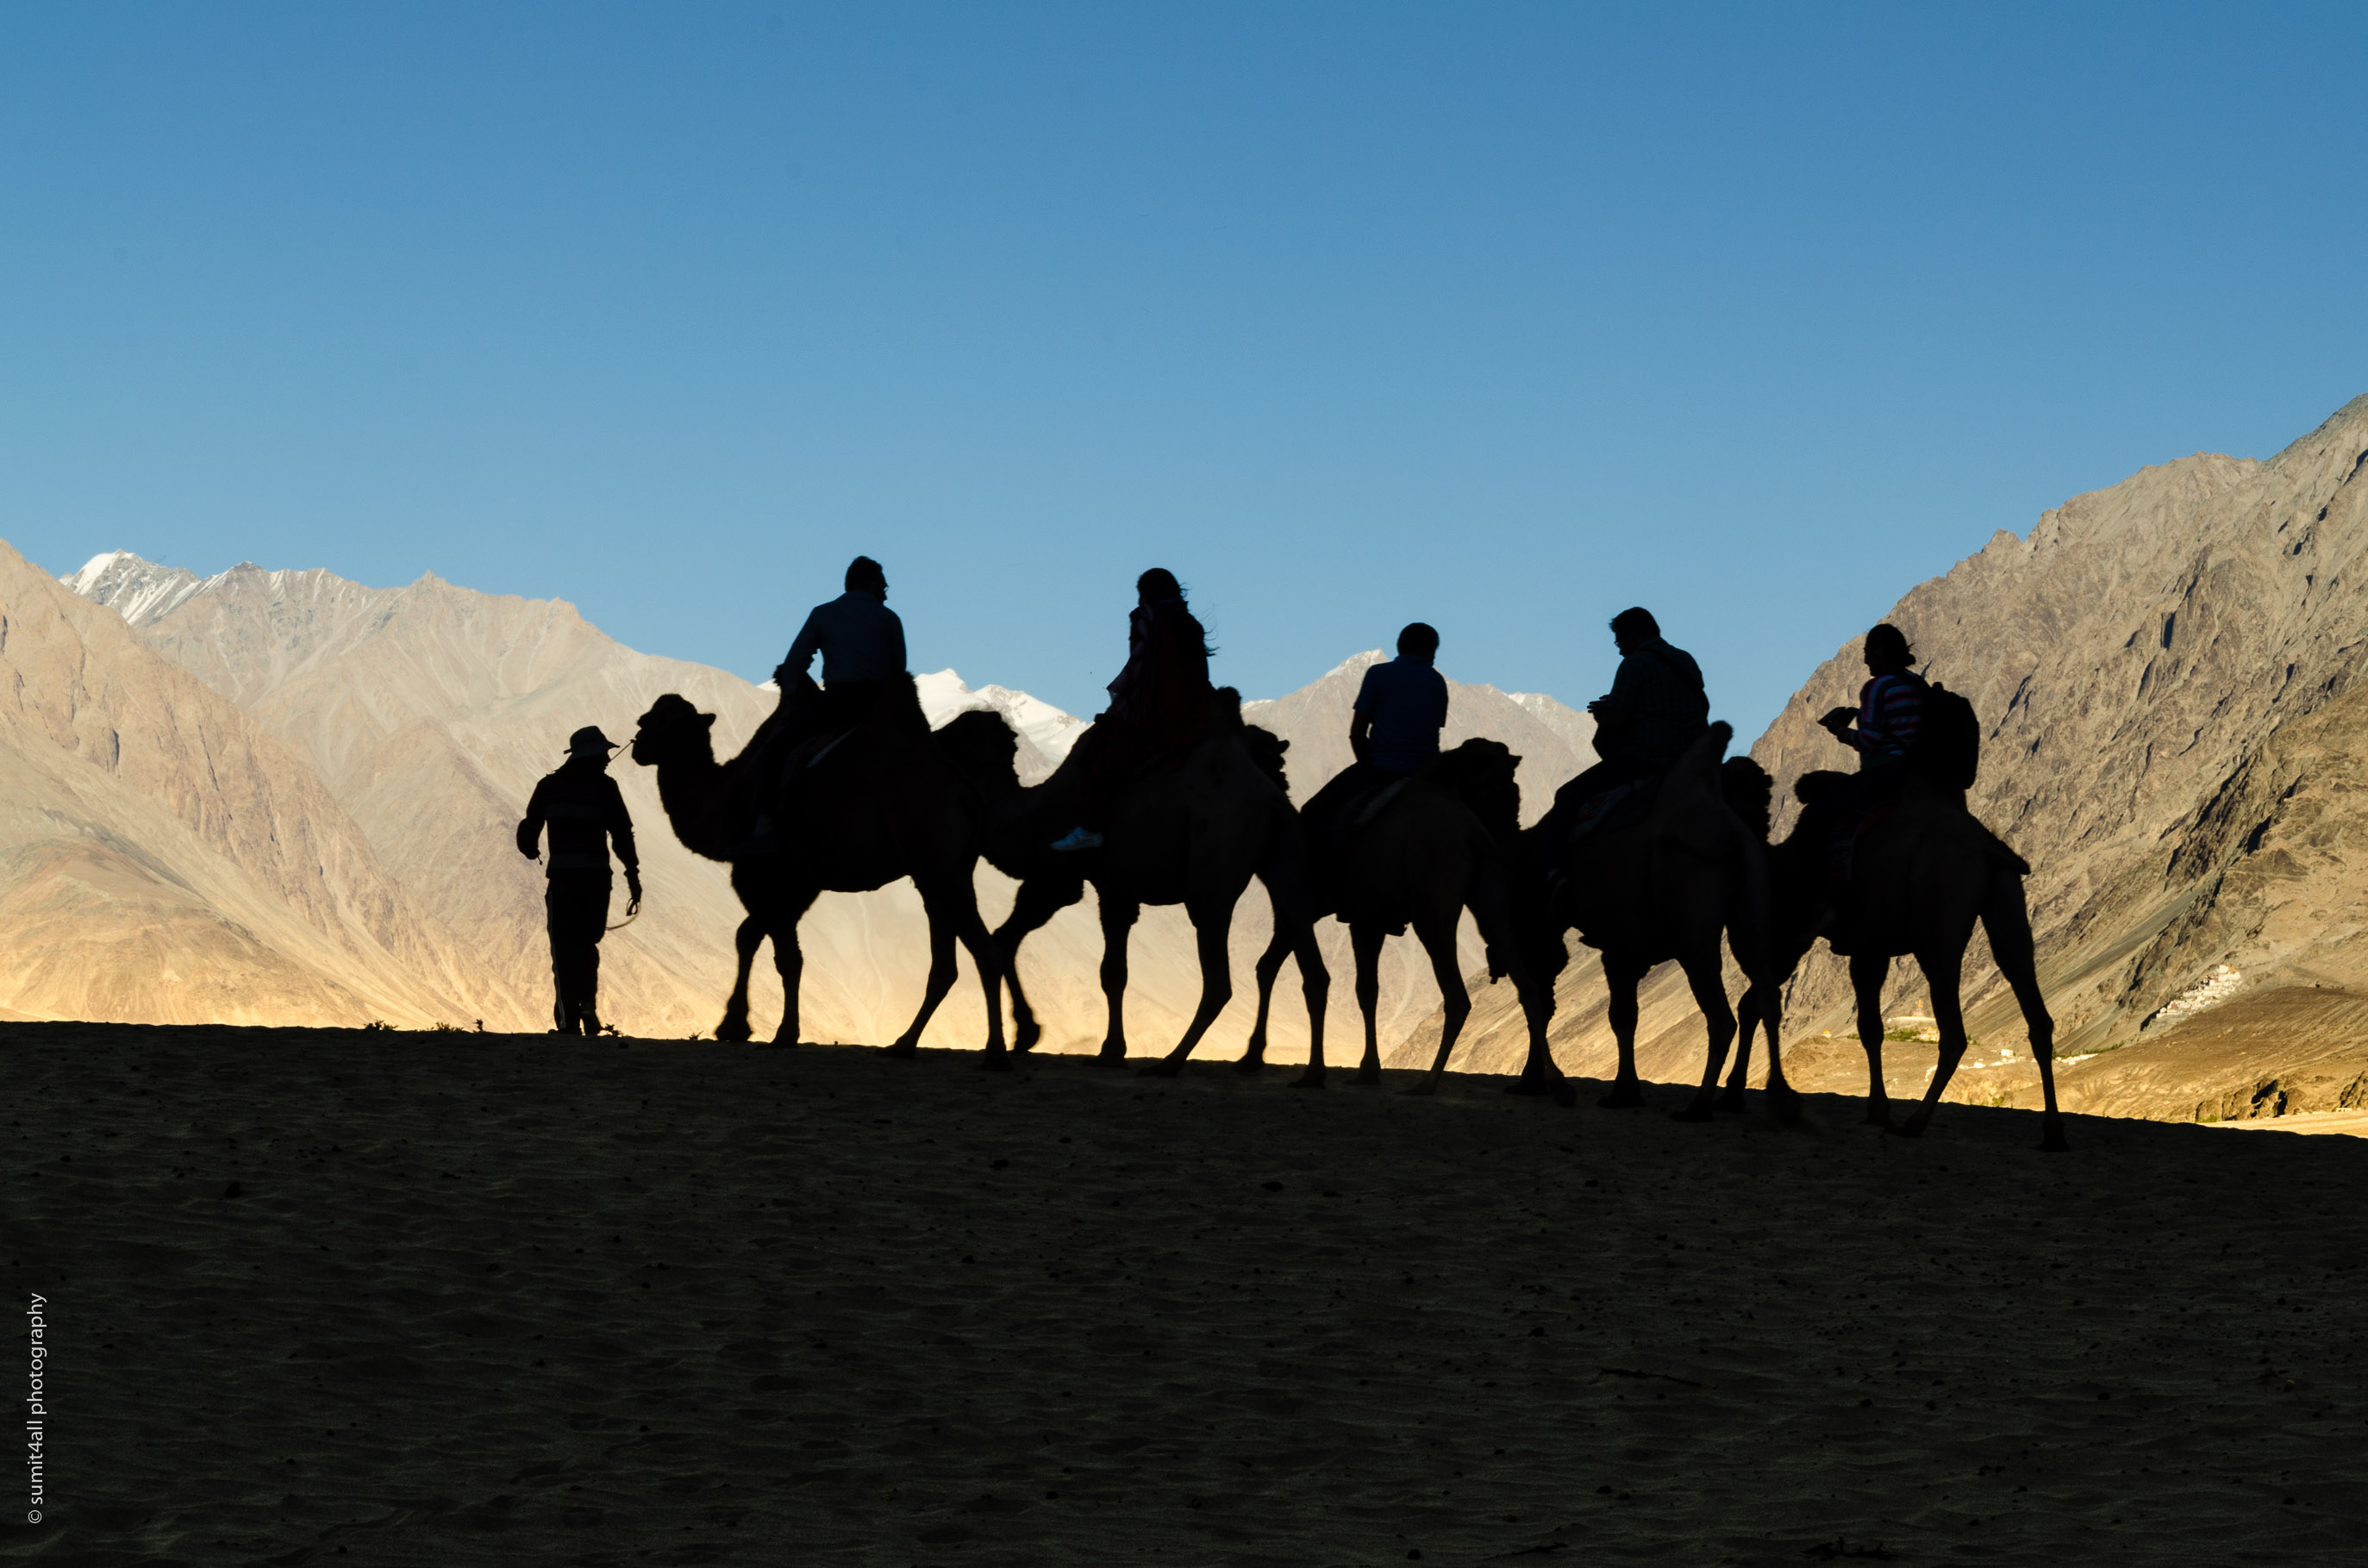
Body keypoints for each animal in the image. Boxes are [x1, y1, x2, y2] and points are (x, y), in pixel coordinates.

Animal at [629, 682, 1009, 1060]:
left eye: (653, 722)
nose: (637, 746)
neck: (724, 801)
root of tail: (965, 791)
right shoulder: (798, 887)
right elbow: (755, 939)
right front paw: (740, 1026)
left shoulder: (766, 876)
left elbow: (779, 955)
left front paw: (773, 1032)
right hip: (945, 873)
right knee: (946, 964)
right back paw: (904, 1044)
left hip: (937, 863)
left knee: (984, 949)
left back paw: (994, 1053)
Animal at [965, 696, 1335, 1079]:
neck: (1033, 812)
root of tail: (1273, 803)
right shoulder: (1107, 888)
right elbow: (1105, 969)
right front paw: (1058, 1040)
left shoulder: (1073, 880)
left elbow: (1102, 970)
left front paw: (1066, 1040)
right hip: (1286, 867)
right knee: (1309, 962)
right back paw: (1310, 1073)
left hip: (1211, 877)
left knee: (1219, 982)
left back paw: (1170, 1062)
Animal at [1525, 720, 1771, 1117]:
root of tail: (1729, 836)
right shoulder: (1628, 951)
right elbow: (1625, 1016)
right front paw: (1624, 1091)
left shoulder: (1617, 947)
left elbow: (1620, 1016)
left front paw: (1617, 1092)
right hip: (1751, 923)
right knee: (1764, 998)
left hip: (1693, 937)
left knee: (1721, 1018)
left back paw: (1698, 1106)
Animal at [1723, 772, 2074, 1155]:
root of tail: (1987, 848)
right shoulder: (1868, 946)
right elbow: (1871, 1028)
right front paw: (1877, 1110)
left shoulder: (1799, 935)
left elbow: (1764, 1003)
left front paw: (1750, 1093)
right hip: (2007, 908)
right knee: (2033, 1007)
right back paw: (2053, 1133)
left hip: (1936, 926)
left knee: (1954, 1033)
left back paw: (1916, 1122)